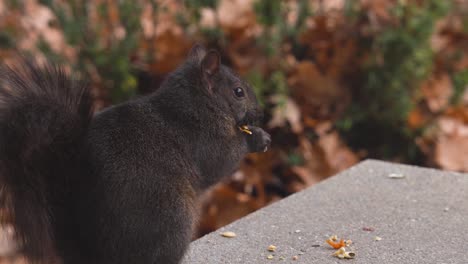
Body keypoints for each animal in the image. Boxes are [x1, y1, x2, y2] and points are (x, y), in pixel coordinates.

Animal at [0, 44, 270, 262]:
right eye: (238, 92)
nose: (260, 113)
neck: (193, 105)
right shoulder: (203, 139)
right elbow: (221, 160)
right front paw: (257, 138)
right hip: (172, 218)